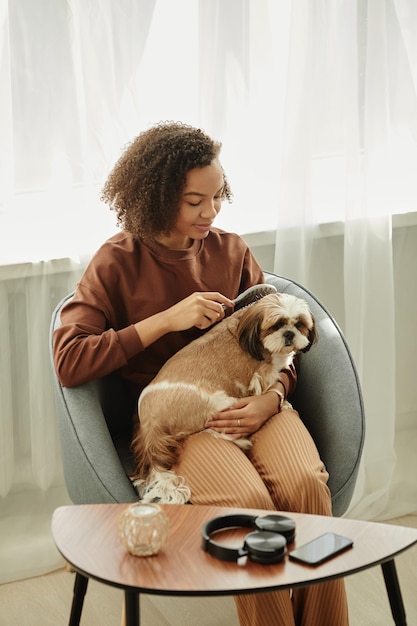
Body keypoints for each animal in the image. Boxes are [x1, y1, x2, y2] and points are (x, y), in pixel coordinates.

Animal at [132, 292, 316, 502]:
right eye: (277, 325)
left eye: (299, 324)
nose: (289, 334)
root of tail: (151, 425)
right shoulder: (262, 376)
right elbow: (267, 388)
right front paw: (283, 403)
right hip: (220, 403)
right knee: (216, 429)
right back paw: (242, 441)